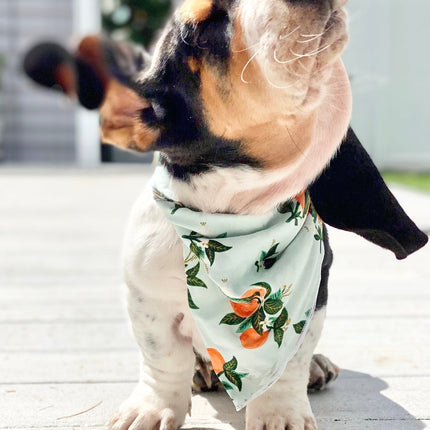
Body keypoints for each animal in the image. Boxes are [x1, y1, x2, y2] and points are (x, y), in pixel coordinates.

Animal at [23, 0, 426, 430]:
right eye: (201, 30)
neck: (232, 216)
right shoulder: (148, 299)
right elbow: (163, 358)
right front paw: (153, 407)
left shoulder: (313, 301)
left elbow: (291, 362)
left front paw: (281, 412)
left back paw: (317, 367)